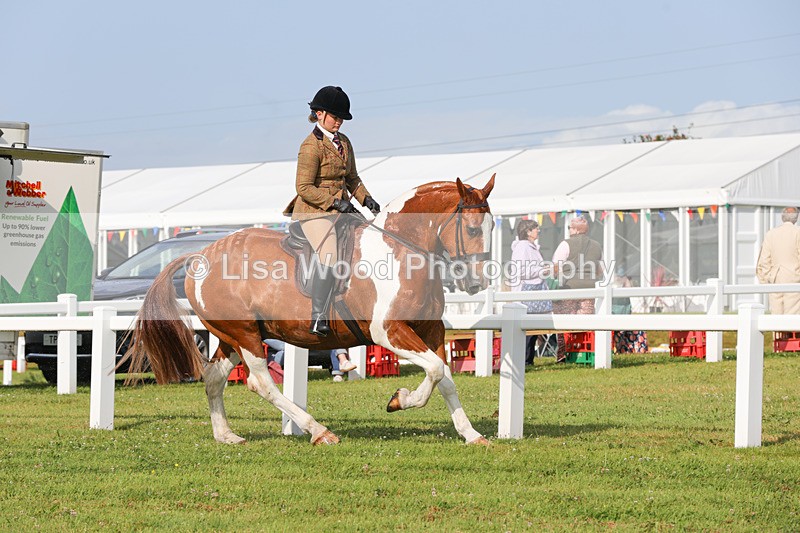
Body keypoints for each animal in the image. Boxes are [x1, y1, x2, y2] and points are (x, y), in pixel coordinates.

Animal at [122, 175, 496, 445]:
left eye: (492, 228)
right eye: (472, 229)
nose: (477, 282)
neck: (400, 250)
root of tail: (200, 256)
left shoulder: (430, 329)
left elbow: (444, 378)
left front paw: (471, 434)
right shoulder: (388, 331)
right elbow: (435, 370)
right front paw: (400, 400)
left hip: (231, 336)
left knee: (214, 379)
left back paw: (226, 435)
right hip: (245, 336)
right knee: (262, 383)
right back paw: (319, 431)